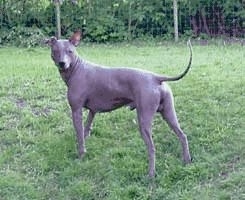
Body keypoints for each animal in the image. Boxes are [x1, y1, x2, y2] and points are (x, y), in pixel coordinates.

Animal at [45, 31, 191, 177]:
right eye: (55, 51)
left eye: (70, 51)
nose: (62, 63)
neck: (76, 68)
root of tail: (155, 77)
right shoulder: (92, 111)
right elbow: (86, 128)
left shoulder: (76, 110)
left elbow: (79, 133)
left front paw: (81, 154)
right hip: (169, 114)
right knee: (183, 135)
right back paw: (187, 161)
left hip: (144, 119)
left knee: (152, 148)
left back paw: (150, 175)